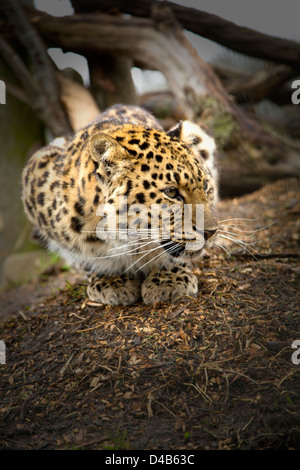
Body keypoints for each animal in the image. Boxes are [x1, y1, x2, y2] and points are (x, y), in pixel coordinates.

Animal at [21, 103, 218, 304]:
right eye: (171, 192)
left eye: (205, 185)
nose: (211, 233)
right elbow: (86, 258)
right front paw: (110, 278)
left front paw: (169, 278)